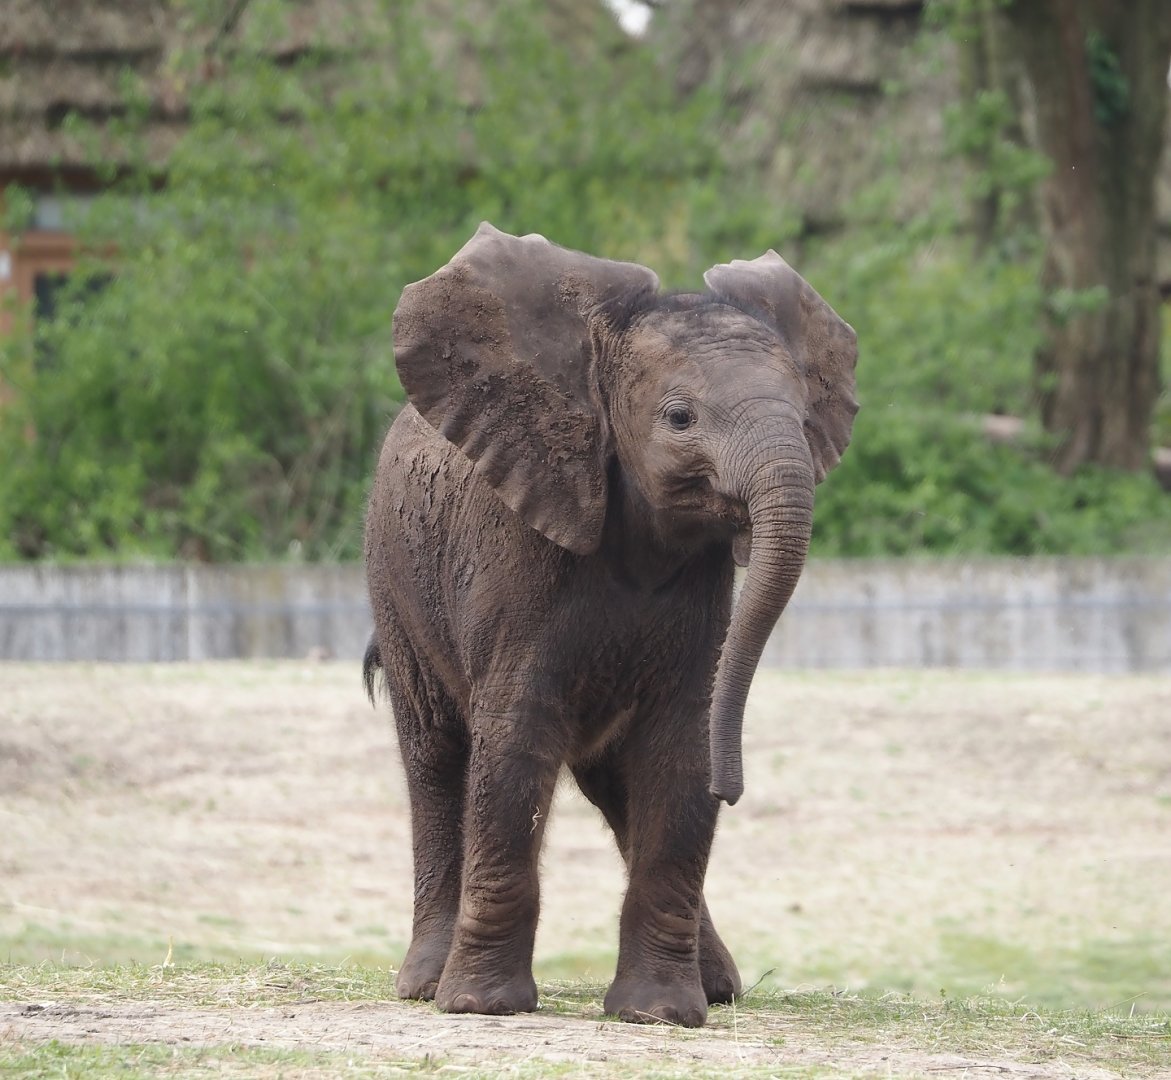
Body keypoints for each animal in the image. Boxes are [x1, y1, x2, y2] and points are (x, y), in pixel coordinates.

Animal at [363, 222, 857, 1027]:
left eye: (805, 415)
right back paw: (426, 985)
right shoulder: (518, 553)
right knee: (435, 755)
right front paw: (483, 1007)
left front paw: (659, 1015)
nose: (735, 789)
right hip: (394, 578)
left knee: (614, 784)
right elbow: (514, 744)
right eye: (680, 418)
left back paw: (718, 987)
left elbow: (678, 754)